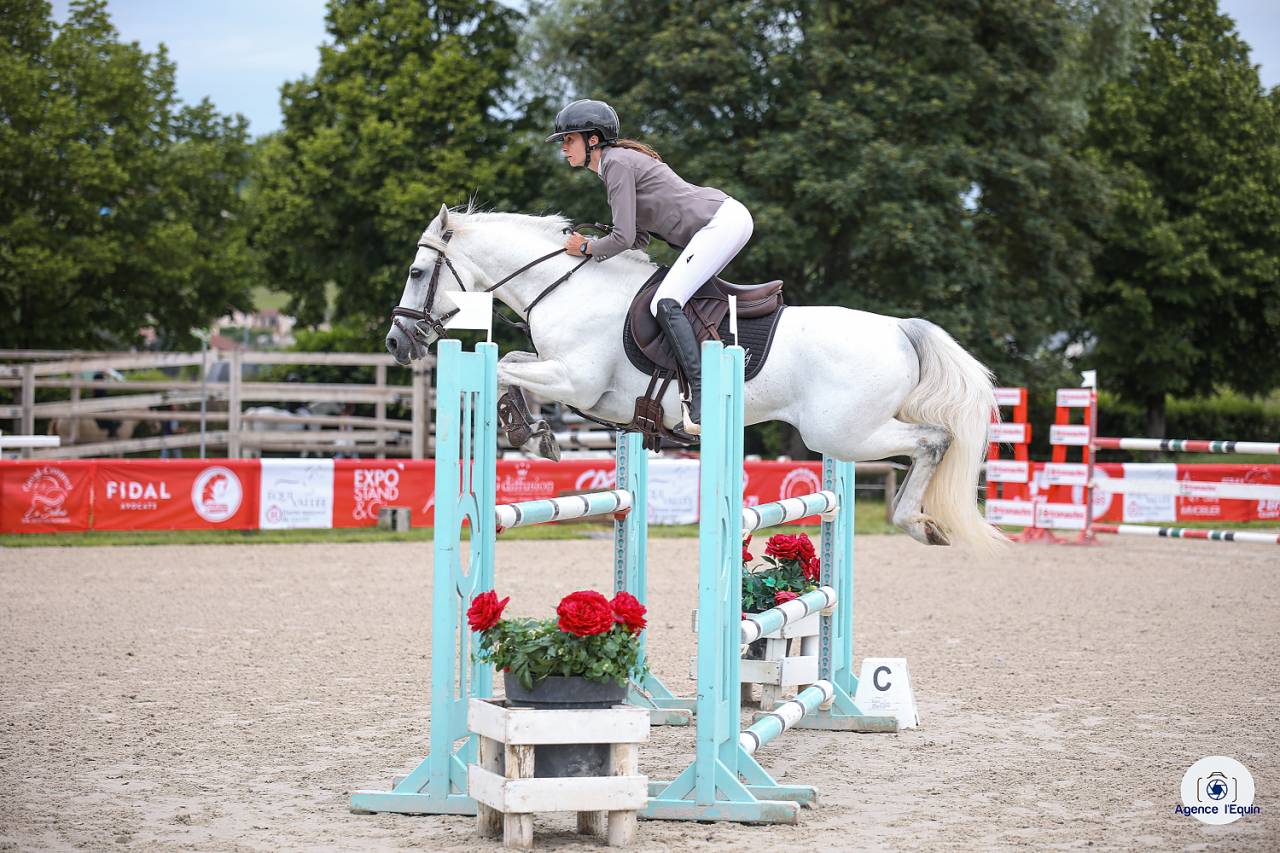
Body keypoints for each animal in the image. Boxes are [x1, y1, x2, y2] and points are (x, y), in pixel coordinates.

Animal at [385, 204, 1005, 551]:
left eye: (416, 271)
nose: (396, 343)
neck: (565, 287)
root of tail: (900, 329)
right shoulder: (583, 389)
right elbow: (513, 360)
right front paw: (532, 432)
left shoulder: (577, 383)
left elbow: (507, 365)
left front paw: (530, 434)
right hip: (858, 430)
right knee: (930, 443)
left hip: (844, 433)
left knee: (935, 439)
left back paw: (916, 523)